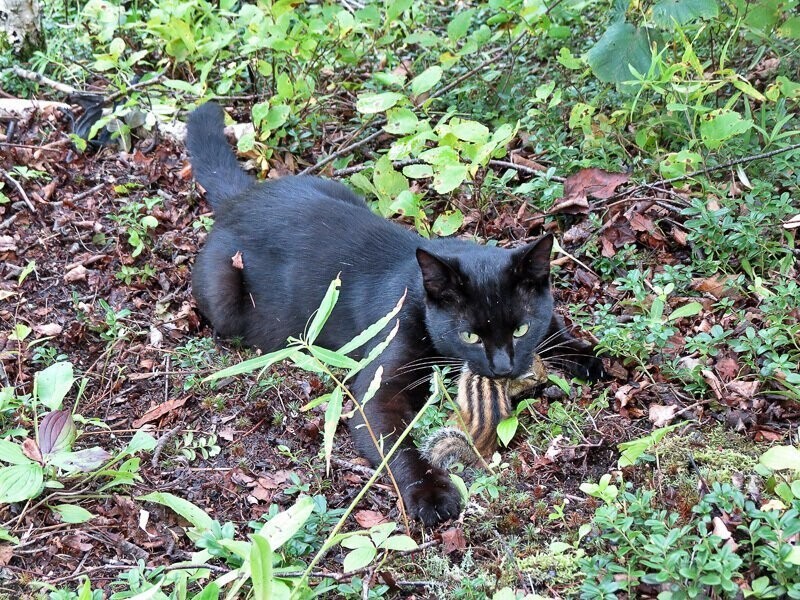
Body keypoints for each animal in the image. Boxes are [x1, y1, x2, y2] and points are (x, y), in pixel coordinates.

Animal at [186, 103, 600, 524]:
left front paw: (591, 358)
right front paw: (432, 495)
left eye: (520, 329)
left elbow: (557, 332)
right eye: (469, 335)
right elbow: (397, 446)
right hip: (223, 296)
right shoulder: (377, 393)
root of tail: (242, 198)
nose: (501, 368)